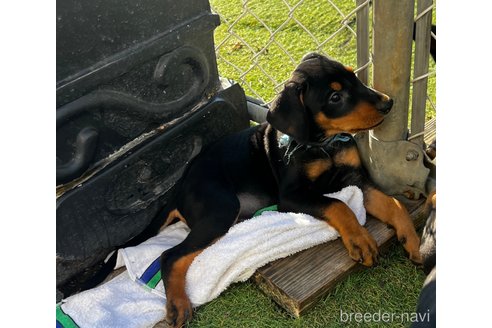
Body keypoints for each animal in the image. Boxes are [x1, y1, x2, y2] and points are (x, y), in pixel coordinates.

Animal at [160, 52, 420, 326]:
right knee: (170, 256)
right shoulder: (291, 196)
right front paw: (360, 240)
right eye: (335, 97)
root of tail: (180, 188)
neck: (324, 145)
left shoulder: (355, 178)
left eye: (354, 76)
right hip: (222, 209)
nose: (388, 103)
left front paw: (414, 241)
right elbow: (338, 205)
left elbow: (394, 204)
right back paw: (178, 305)